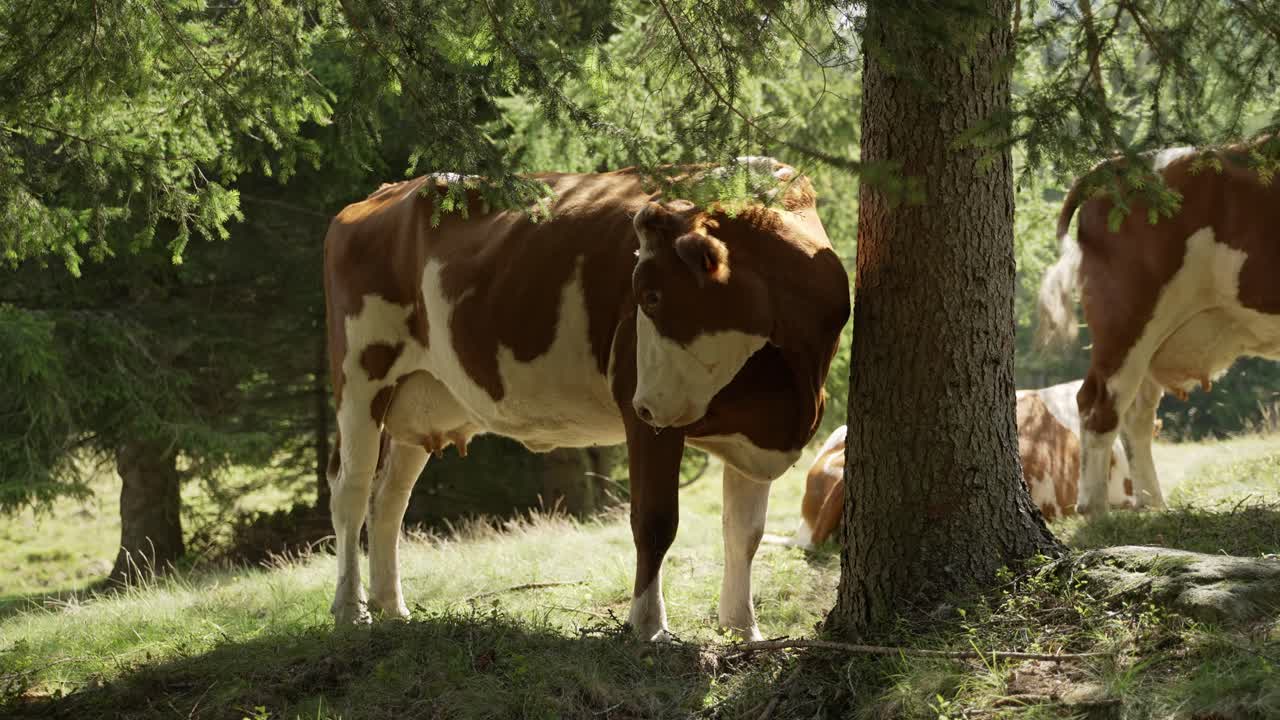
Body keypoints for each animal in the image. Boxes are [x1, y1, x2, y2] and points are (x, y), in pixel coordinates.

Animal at [322, 158, 851, 642]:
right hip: (360, 376)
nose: (644, 405)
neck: (788, 388)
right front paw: (648, 626)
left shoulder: (755, 435)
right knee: (351, 489)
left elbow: (744, 533)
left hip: (420, 395)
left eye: (652, 296)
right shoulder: (648, 420)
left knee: (389, 498)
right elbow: (655, 521)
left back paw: (392, 607)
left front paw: (743, 629)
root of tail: (378, 196)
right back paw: (351, 609)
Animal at [1037, 140, 1280, 517]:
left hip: (1150, 339)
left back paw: (1151, 504)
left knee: (1135, 415)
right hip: (1128, 316)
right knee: (1097, 405)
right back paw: (1096, 509)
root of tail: (1116, 164)